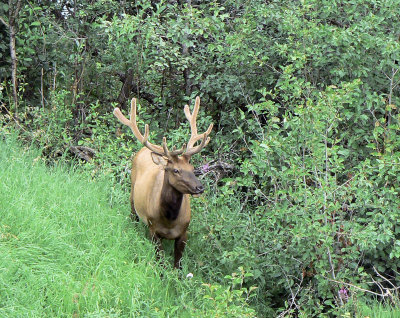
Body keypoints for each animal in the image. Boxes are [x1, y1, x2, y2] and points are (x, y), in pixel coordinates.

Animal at [112, 97, 212, 268]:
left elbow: (178, 265)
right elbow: (161, 262)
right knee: (132, 215)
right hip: (132, 194)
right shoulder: (153, 229)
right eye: (176, 170)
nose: (199, 187)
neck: (169, 221)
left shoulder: (184, 232)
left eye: (192, 168)